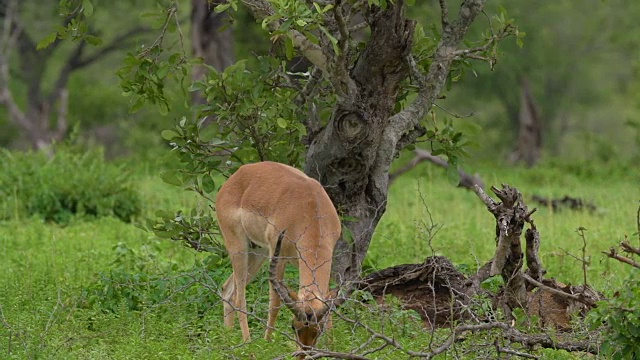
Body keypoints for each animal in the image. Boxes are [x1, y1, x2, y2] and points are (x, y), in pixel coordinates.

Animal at [215, 162, 342, 352]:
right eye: (294, 326)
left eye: (317, 330)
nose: (304, 352)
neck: (311, 207)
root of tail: (236, 176)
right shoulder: (278, 256)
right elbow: (275, 303)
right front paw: (267, 344)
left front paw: (331, 347)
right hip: (239, 247)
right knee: (238, 297)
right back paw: (247, 343)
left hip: (257, 252)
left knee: (228, 290)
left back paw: (228, 339)